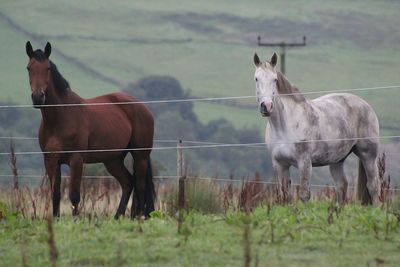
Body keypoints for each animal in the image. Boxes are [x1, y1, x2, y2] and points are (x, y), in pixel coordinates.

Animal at [24, 40, 154, 219]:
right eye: (29, 68)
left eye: (48, 68)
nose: (38, 97)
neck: (59, 119)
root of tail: (142, 107)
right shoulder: (51, 160)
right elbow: (55, 193)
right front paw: (56, 219)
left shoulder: (76, 160)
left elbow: (74, 195)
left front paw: (75, 220)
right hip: (113, 159)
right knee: (128, 183)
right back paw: (118, 217)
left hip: (140, 156)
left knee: (140, 186)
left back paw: (138, 218)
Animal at [255, 53, 380, 206]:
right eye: (256, 78)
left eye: (275, 79)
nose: (266, 106)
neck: (284, 127)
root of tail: (366, 105)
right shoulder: (280, 164)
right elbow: (287, 196)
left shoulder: (304, 163)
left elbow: (304, 195)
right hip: (337, 160)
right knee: (342, 185)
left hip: (368, 155)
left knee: (373, 186)